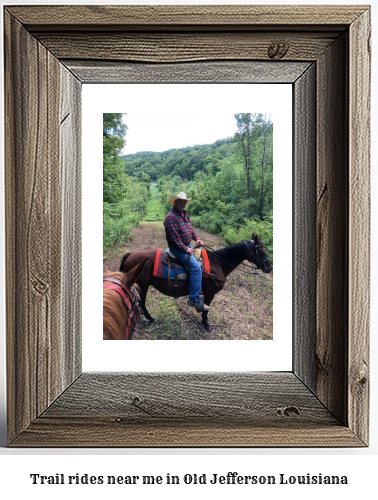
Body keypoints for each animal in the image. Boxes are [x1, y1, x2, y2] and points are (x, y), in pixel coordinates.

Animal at [119, 233, 270, 332]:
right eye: (261, 249)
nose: (269, 267)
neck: (218, 263)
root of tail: (130, 254)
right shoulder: (210, 294)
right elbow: (206, 310)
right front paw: (206, 325)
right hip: (142, 286)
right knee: (141, 303)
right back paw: (150, 319)